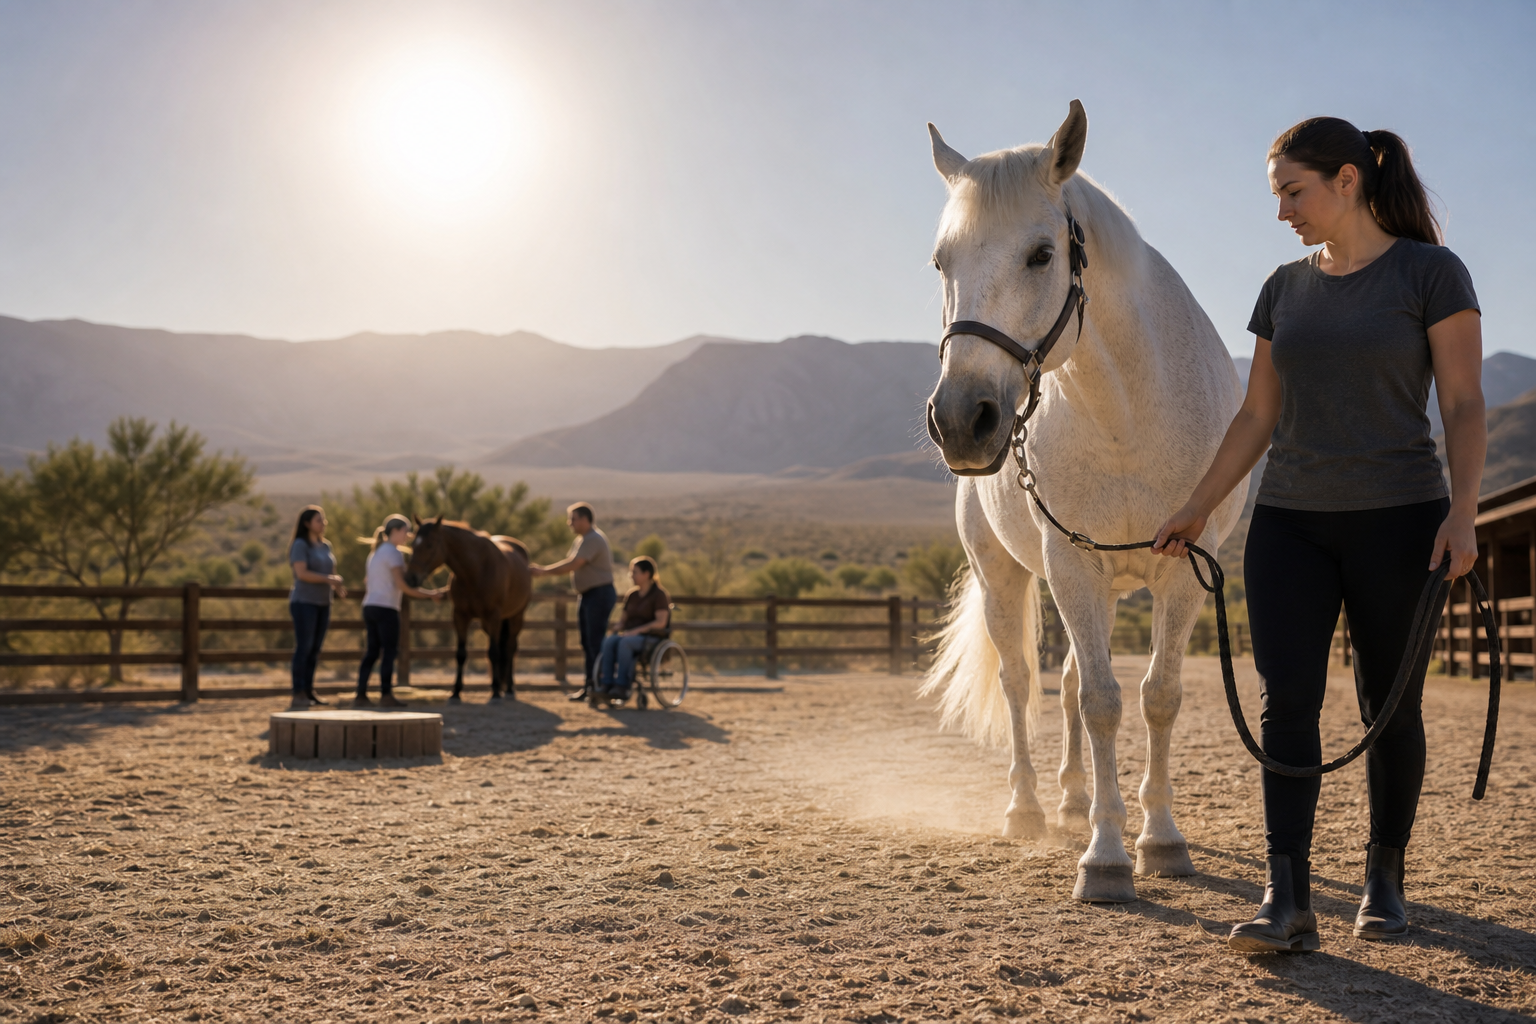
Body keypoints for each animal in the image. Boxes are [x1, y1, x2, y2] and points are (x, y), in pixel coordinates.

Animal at [405, 516, 532, 702]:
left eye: (429, 544)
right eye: (413, 544)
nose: (410, 578)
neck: (476, 571)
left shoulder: (493, 616)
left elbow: (493, 652)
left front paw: (495, 692)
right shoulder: (460, 616)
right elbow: (461, 654)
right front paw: (456, 692)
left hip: (515, 617)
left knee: (509, 648)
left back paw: (508, 689)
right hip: (490, 624)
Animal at [920, 100, 1246, 903]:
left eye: (1042, 254)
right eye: (942, 262)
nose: (961, 420)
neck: (1126, 413)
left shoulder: (1182, 571)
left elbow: (1157, 696)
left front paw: (1161, 839)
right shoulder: (1070, 567)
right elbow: (1101, 701)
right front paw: (1106, 857)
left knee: (1064, 682)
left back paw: (1072, 798)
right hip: (1007, 575)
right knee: (1021, 683)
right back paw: (1029, 808)